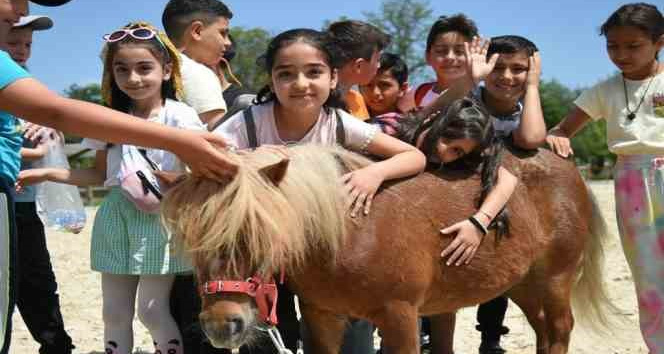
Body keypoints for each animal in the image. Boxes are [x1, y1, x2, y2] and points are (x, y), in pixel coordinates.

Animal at [163, 145, 616, 354]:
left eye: (260, 233)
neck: (348, 231)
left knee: (559, 329)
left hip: (554, 279)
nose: (222, 325)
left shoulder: (400, 317)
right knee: (543, 330)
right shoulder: (322, 316)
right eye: (192, 243)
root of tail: (569, 169)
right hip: (522, 282)